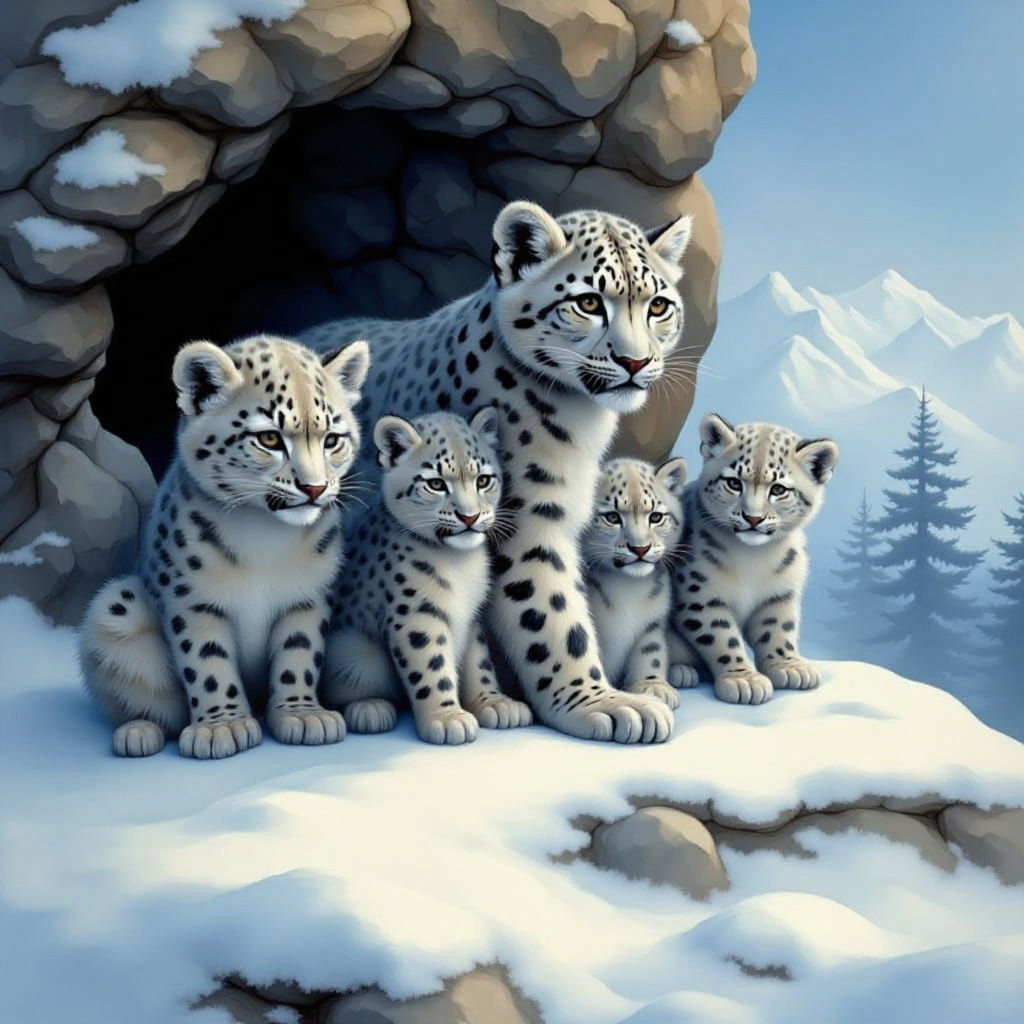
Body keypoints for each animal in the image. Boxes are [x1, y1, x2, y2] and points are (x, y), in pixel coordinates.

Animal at [79, 333, 370, 758]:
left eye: (332, 439)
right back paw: (137, 732)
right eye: (269, 437)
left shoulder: (307, 597)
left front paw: (302, 715)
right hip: (117, 607)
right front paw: (223, 727)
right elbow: (207, 662)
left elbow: (299, 652)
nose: (315, 488)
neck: (265, 536)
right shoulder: (192, 598)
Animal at [322, 408, 533, 744]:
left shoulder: (471, 618)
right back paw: (370, 708)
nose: (470, 517)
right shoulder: (417, 615)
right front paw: (448, 718)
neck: (460, 562)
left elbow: (479, 662)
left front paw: (495, 702)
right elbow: (432, 668)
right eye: (435, 483)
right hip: (356, 650)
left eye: (483, 480)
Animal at [583, 456, 700, 712]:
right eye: (612, 517)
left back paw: (683, 671)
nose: (640, 548)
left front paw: (653, 686)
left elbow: (651, 653)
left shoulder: (652, 625)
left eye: (655, 517)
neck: (627, 588)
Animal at [669, 413, 839, 705]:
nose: (753, 518)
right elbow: (722, 636)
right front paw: (743, 680)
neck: (754, 557)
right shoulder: (700, 596)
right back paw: (681, 671)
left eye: (779, 489)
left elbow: (777, 630)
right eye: (734, 483)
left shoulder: (778, 595)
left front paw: (788, 666)